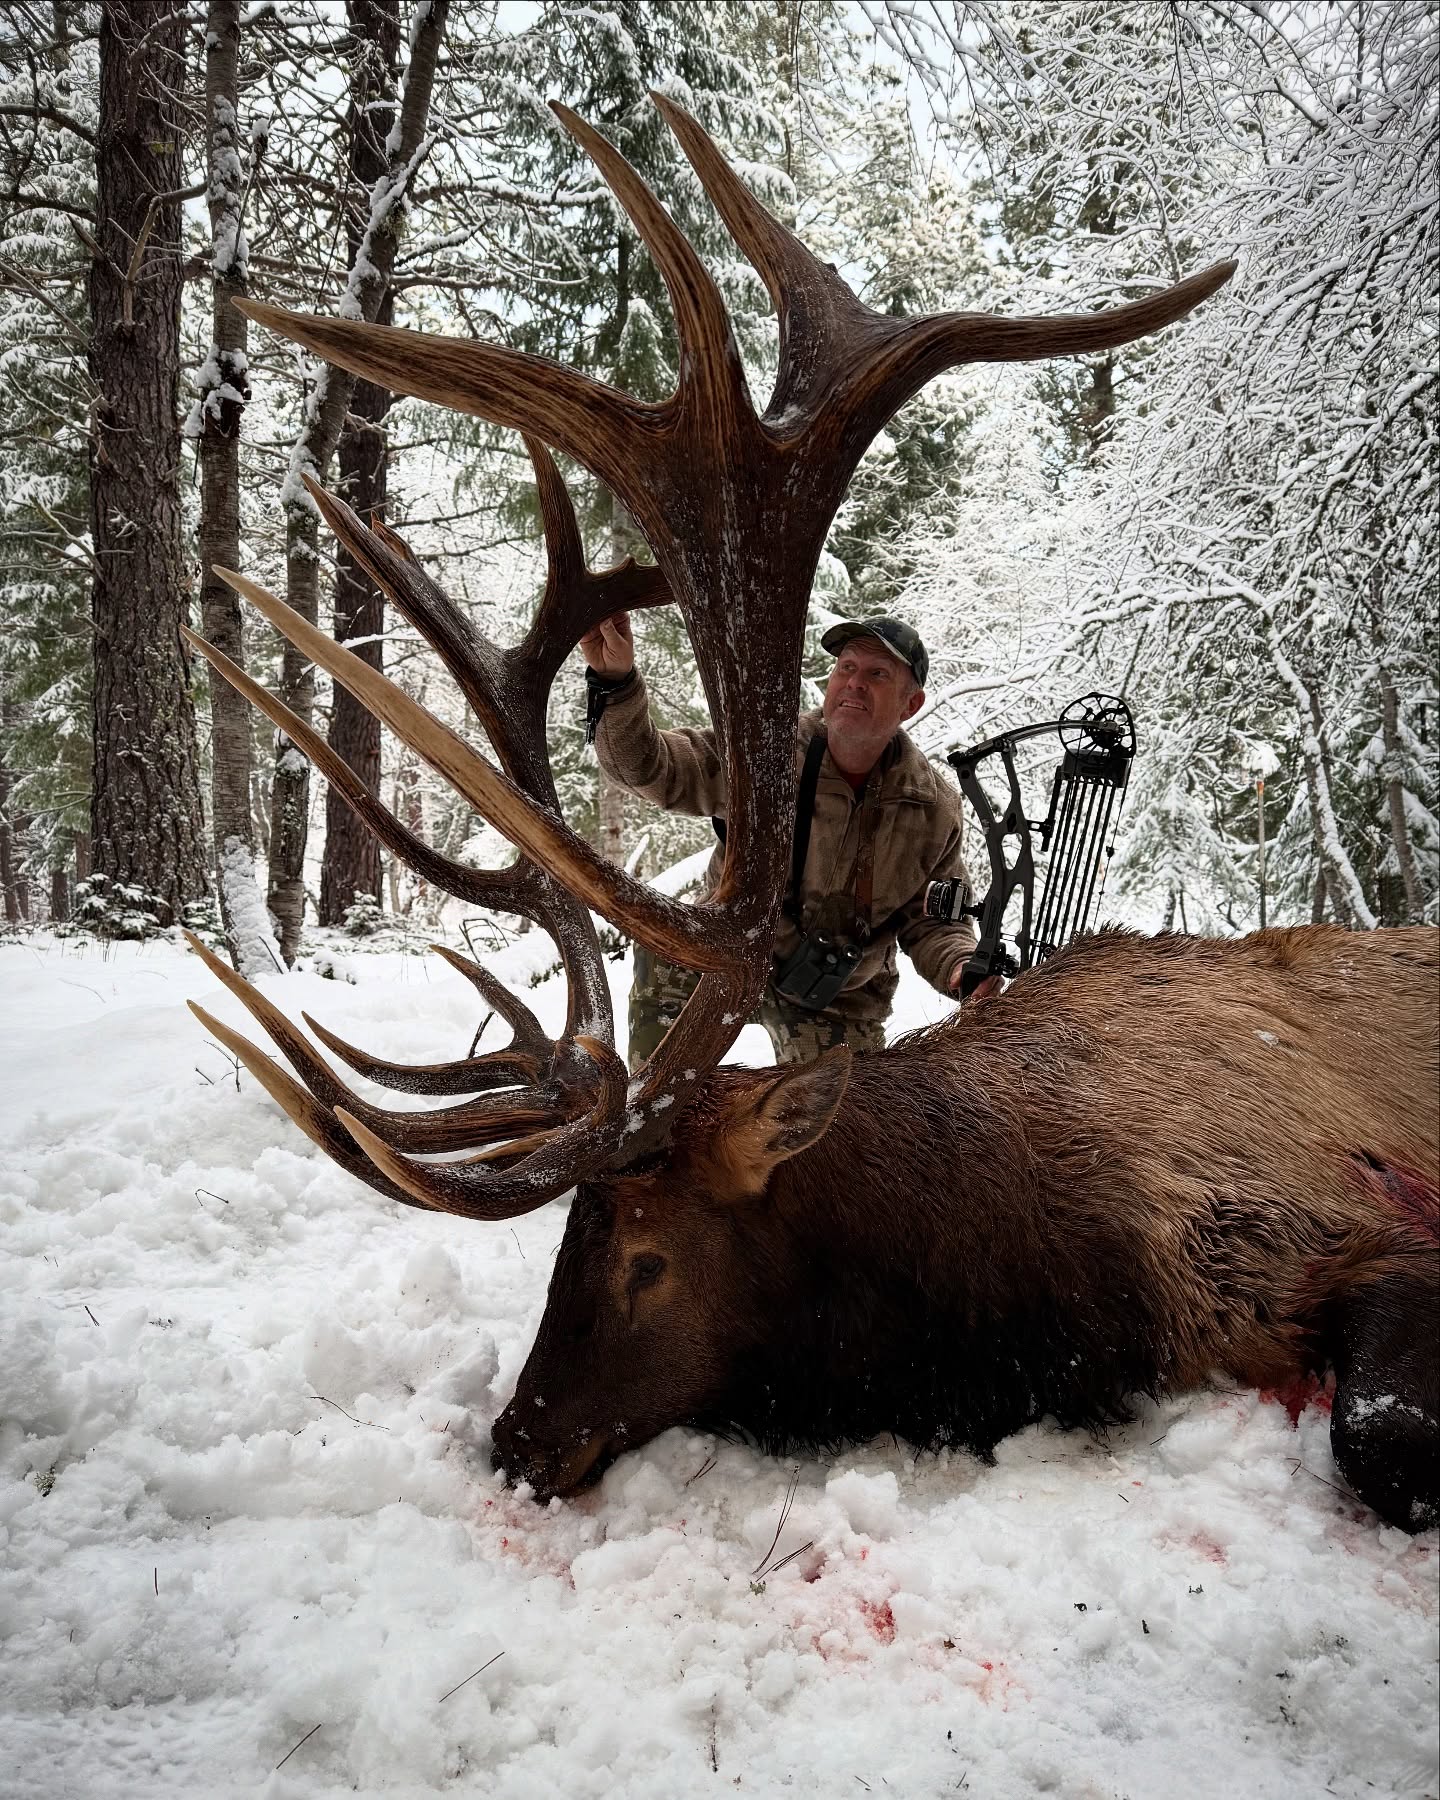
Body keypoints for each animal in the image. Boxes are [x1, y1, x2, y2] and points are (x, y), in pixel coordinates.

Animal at [182, 98, 1440, 1526]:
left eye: (648, 1256)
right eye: (566, 1244)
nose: (517, 1442)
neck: (1056, 1282)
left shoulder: (1358, 1214)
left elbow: (1381, 1434)